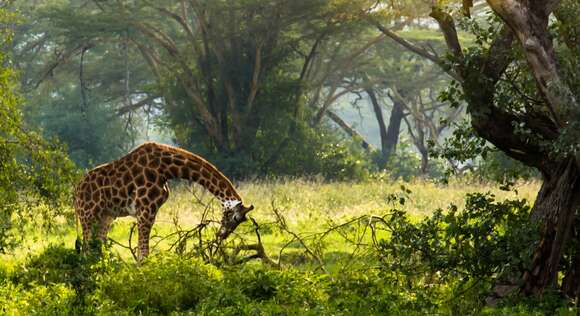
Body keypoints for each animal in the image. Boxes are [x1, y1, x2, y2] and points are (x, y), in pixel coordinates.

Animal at [73, 142, 254, 260]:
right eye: (234, 217)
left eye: (241, 222)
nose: (222, 234)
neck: (167, 169)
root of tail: (76, 191)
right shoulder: (145, 210)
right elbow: (143, 255)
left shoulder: (150, 212)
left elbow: (143, 253)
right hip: (87, 216)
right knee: (86, 250)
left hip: (105, 217)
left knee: (97, 249)